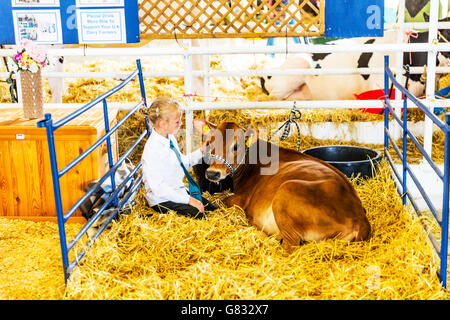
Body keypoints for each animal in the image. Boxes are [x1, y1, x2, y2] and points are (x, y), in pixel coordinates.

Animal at [195, 119, 370, 248]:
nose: (212, 173)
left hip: (287, 191)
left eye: (236, 146)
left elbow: (220, 202)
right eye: (210, 143)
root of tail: (360, 219)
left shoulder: (240, 199)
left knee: (289, 247)